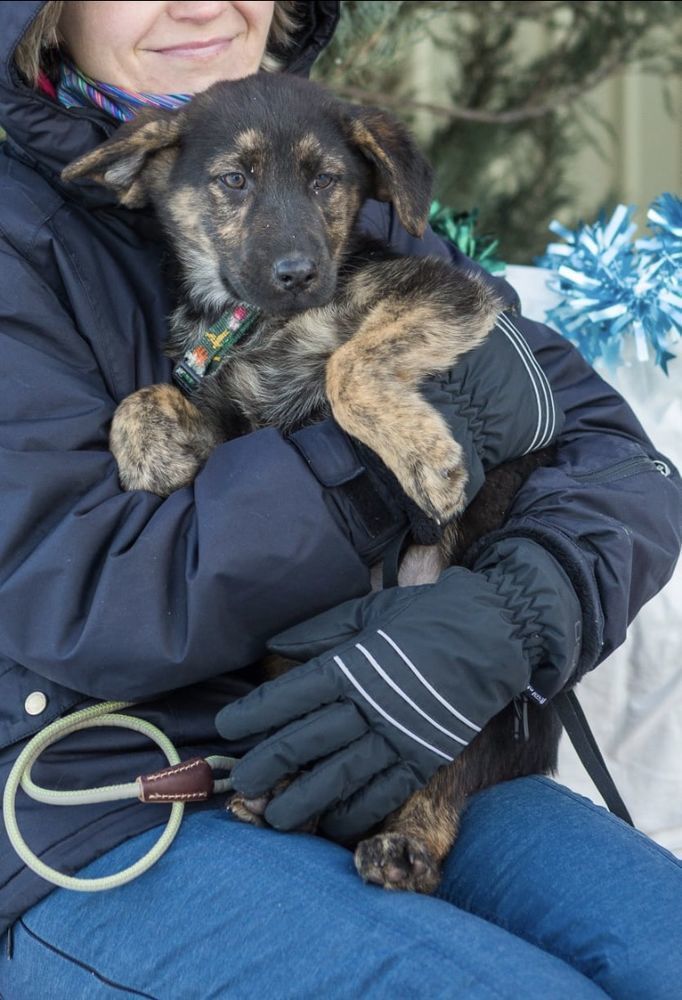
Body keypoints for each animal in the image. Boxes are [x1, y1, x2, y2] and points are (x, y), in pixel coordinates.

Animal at [62, 74, 556, 896]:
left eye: (326, 180)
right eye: (234, 180)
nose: (297, 273)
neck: (258, 322)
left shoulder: (441, 293)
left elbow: (346, 365)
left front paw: (427, 457)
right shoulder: (233, 420)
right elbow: (148, 398)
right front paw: (149, 455)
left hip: (498, 681)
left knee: (451, 765)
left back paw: (406, 845)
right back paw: (274, 794)